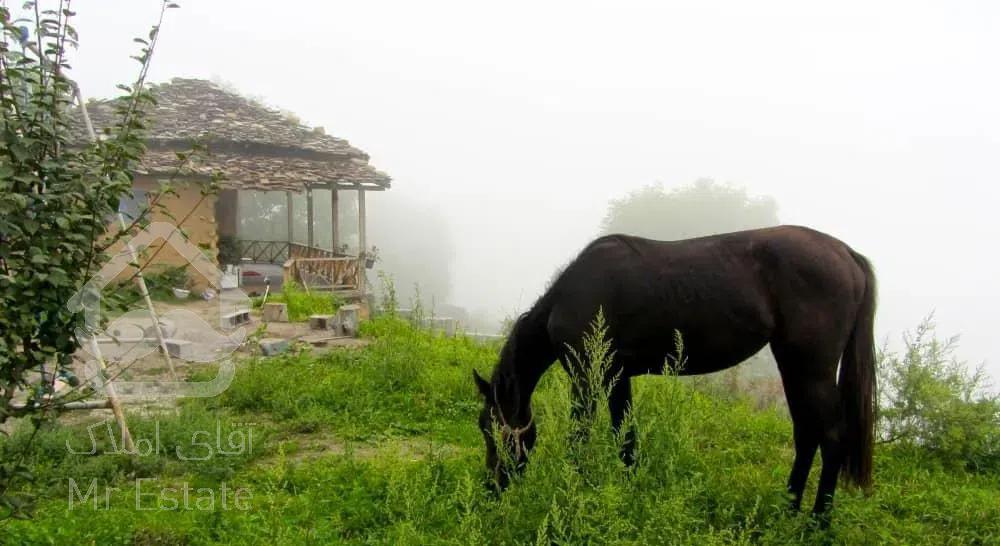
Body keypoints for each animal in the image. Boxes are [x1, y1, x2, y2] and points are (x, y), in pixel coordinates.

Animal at [472, 224, 872, 516]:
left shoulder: (586, 379)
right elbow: (626, 438)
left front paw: (571, 491)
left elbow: (579, 439)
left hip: (811, 370)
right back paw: (787, 509)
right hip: (794, 368)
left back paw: (817, 521)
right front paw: (627, 492)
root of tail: (845, 253)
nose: (491, 488)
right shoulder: (617, 378)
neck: (573, 295)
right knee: (806, 434)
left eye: (492, 429)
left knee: (831, 436)